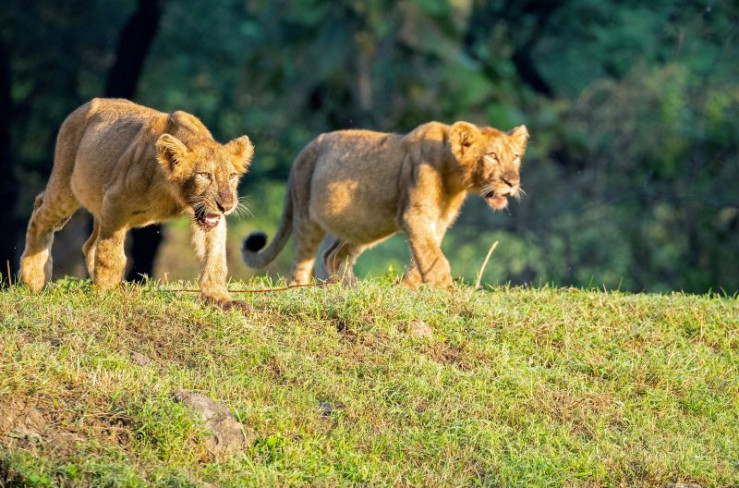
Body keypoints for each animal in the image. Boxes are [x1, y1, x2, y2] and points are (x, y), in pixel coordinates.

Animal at [19, 98, 254, 311]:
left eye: (232, 176)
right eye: (204, 175)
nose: (226, 205)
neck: (173, 195)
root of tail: (78, 110)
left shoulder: (208, 217)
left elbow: (214, 258)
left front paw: (220, 299)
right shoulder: (115, 200)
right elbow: (110, 254)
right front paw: (107, 293)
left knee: (89, 244)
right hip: (66, 188)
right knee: (40, 212)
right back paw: (34, 278)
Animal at [241, 121, 528, 287]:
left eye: (515, 157)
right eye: (492, 156)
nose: (512, 182)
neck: (453, 177)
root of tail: (302, 152)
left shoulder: (438, 222)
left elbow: (423, 257)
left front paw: (409, 289)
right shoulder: (416, 215)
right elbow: (434, 258)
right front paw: (448, 291)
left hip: (363, 226)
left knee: (332, 256)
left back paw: (349, 288)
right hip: (306, 214)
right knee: (303, 260)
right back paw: (300, 289)